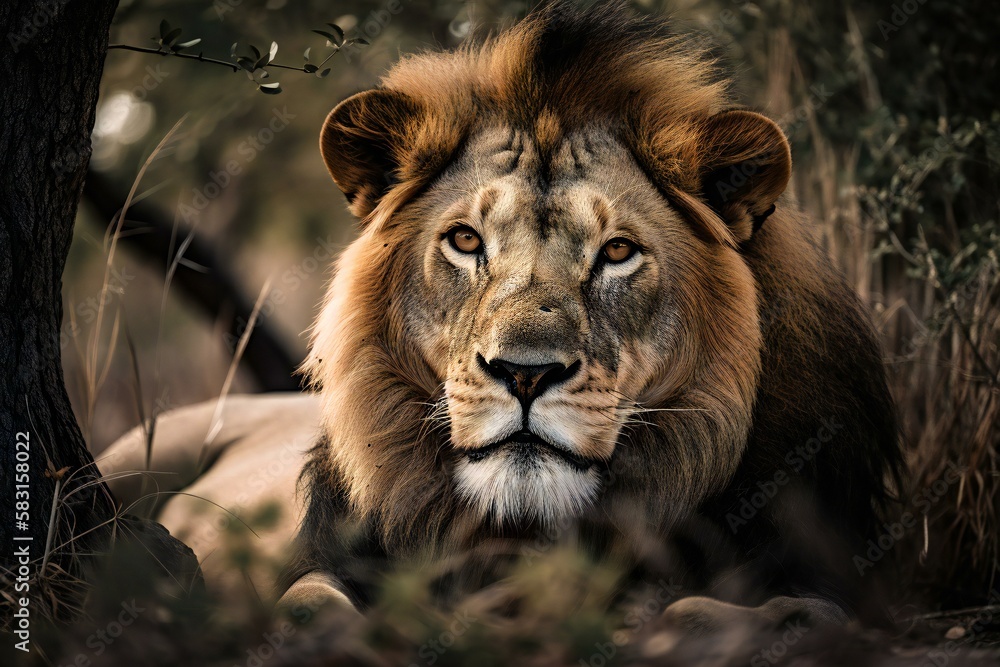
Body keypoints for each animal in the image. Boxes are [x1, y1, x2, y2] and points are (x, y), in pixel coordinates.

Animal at [101, 1, 901, 631]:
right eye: (465, 241)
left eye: (617, 251)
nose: (524, 374)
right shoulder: (330, 561)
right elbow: (308, 600)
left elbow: (755, 609)